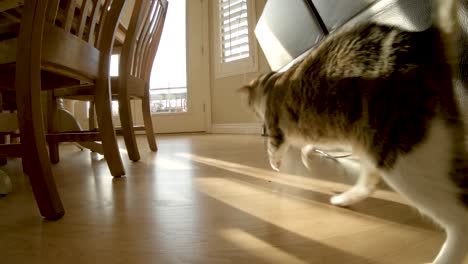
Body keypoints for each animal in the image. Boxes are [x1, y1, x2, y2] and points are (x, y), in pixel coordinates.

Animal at [239, 1, 466, 262]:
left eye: (251, 105)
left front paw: (277, 164)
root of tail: (427, 36)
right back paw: (342, 199)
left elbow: (274, 150)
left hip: (404, 155)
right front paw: (308, 156)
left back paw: (446, 256)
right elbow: (312, 145)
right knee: (369, 184)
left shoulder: (278, 130)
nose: (251, 111)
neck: (272, 83)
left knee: (460, 215)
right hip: (377, 145)